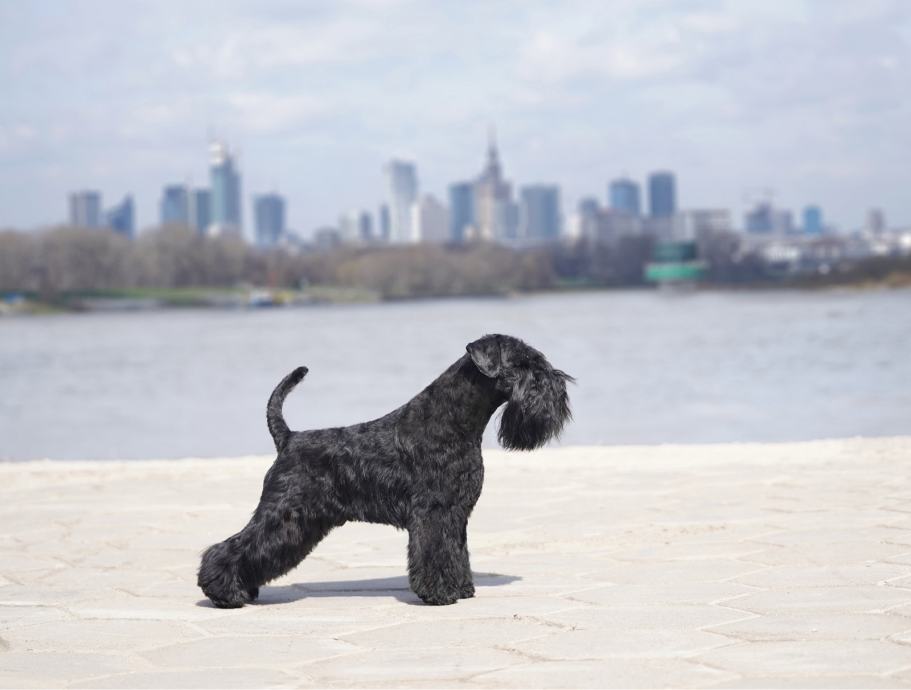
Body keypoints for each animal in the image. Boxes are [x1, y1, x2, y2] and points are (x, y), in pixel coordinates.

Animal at [198, 333, 572, 607]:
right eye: (522, 364)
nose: (559, 387)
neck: (452, 422)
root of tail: (288, 438)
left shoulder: (456, 512)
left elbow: (456, 551)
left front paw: (462, 588)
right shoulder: (433, 512)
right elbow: (434, 552)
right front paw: (439, 594)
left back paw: (241, 590)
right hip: (284, 513)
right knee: (233, 546)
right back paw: (225, 593)